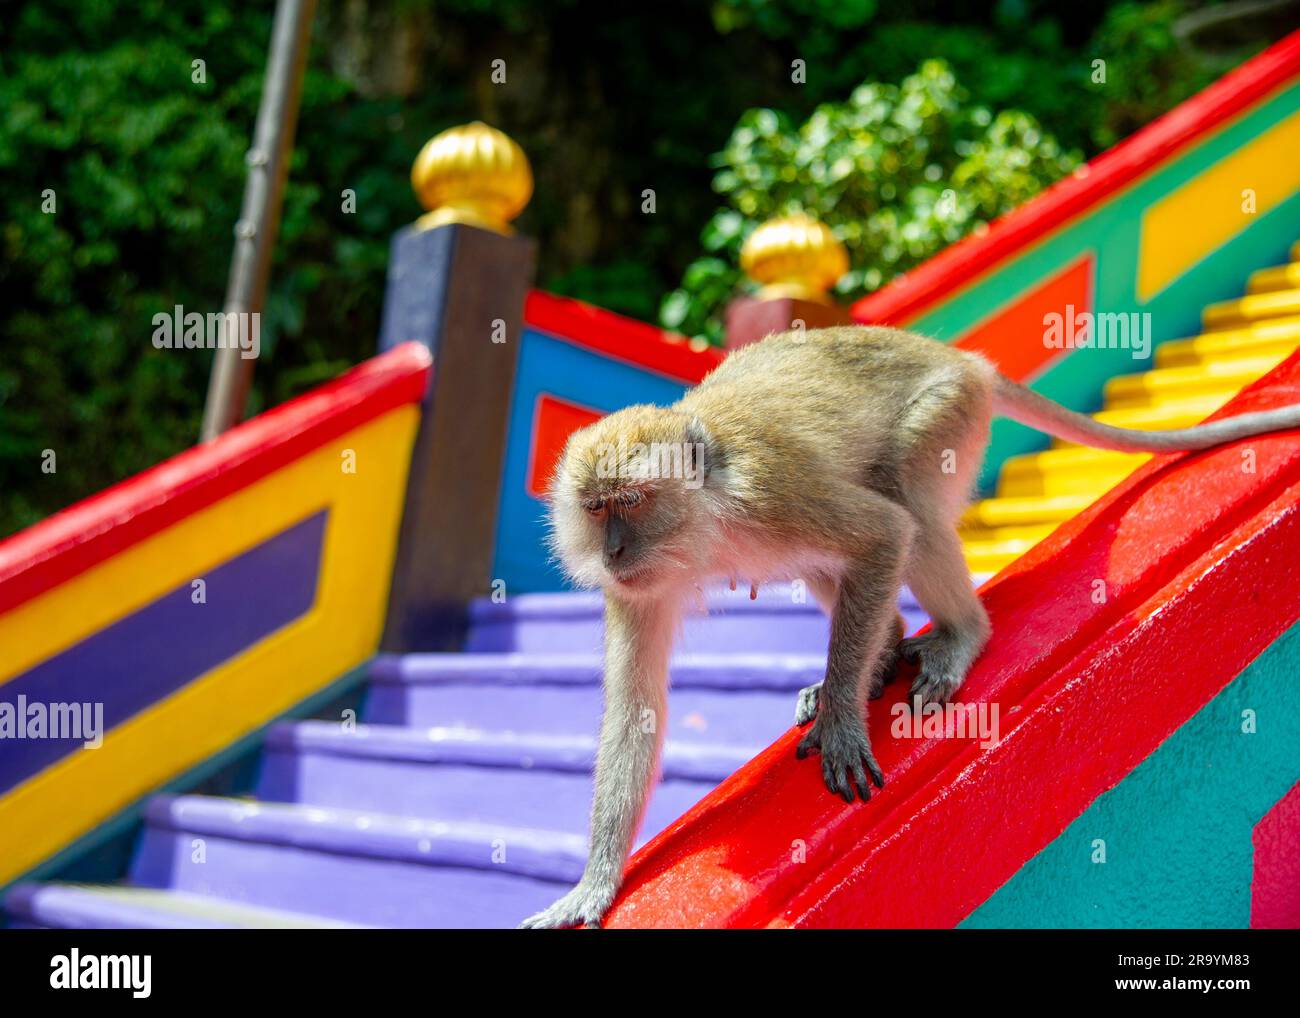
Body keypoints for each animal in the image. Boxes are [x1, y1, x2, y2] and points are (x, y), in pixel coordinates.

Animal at [520, 326, 1300, 930]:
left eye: (631, 501)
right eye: (595, 509)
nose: (613, 553)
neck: (705, 516)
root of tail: (958, 357)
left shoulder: (768, 495)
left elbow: (883, 532)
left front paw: (840, 719)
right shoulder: (640, 591)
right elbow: (634, 712)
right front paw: (596, 882)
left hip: (947, 411)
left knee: (904, 494)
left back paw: (957, 633)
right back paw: (886, 643)